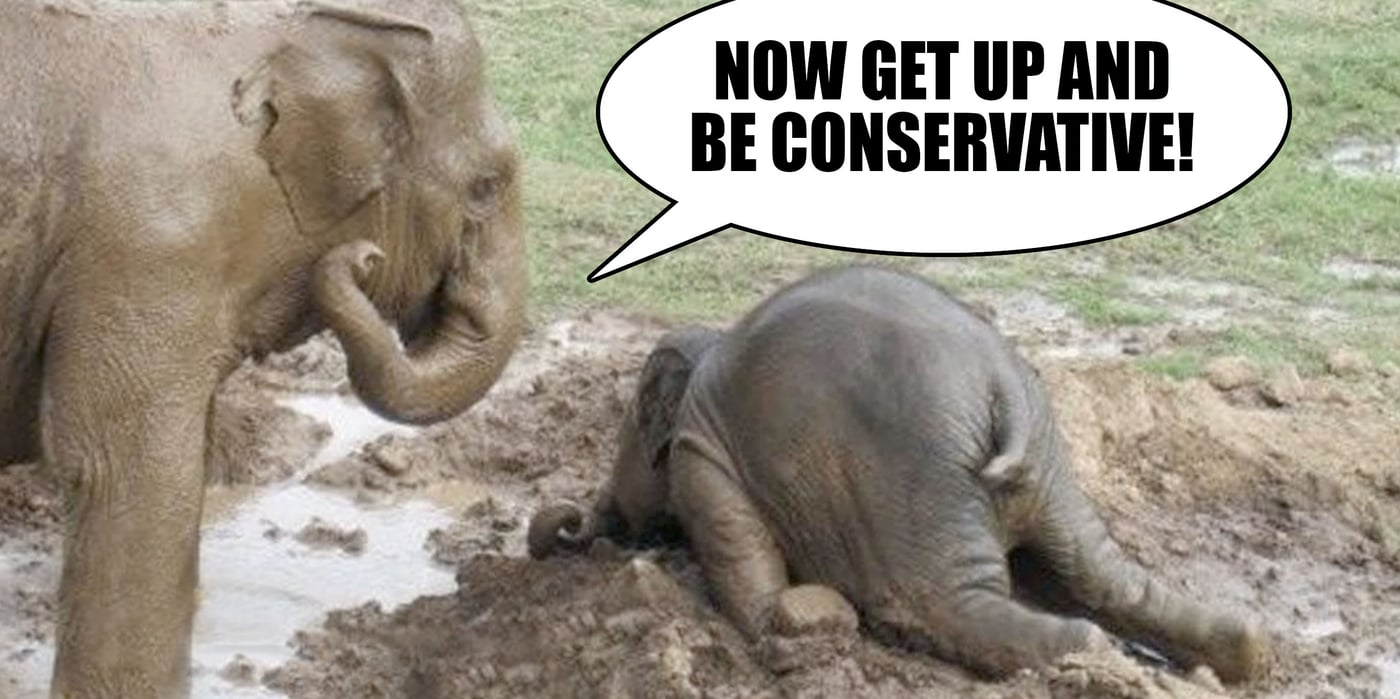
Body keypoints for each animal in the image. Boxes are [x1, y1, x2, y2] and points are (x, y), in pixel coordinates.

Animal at [529, 267, 1268, 683]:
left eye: (629, 429)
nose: (567, 522)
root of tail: (1004, 387)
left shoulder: (702, 456)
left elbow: (742, 562)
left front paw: (784, 628)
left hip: (917, 481)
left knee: (945, 603)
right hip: (1045, 468)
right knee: (1104, 579)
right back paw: (1234, 657)